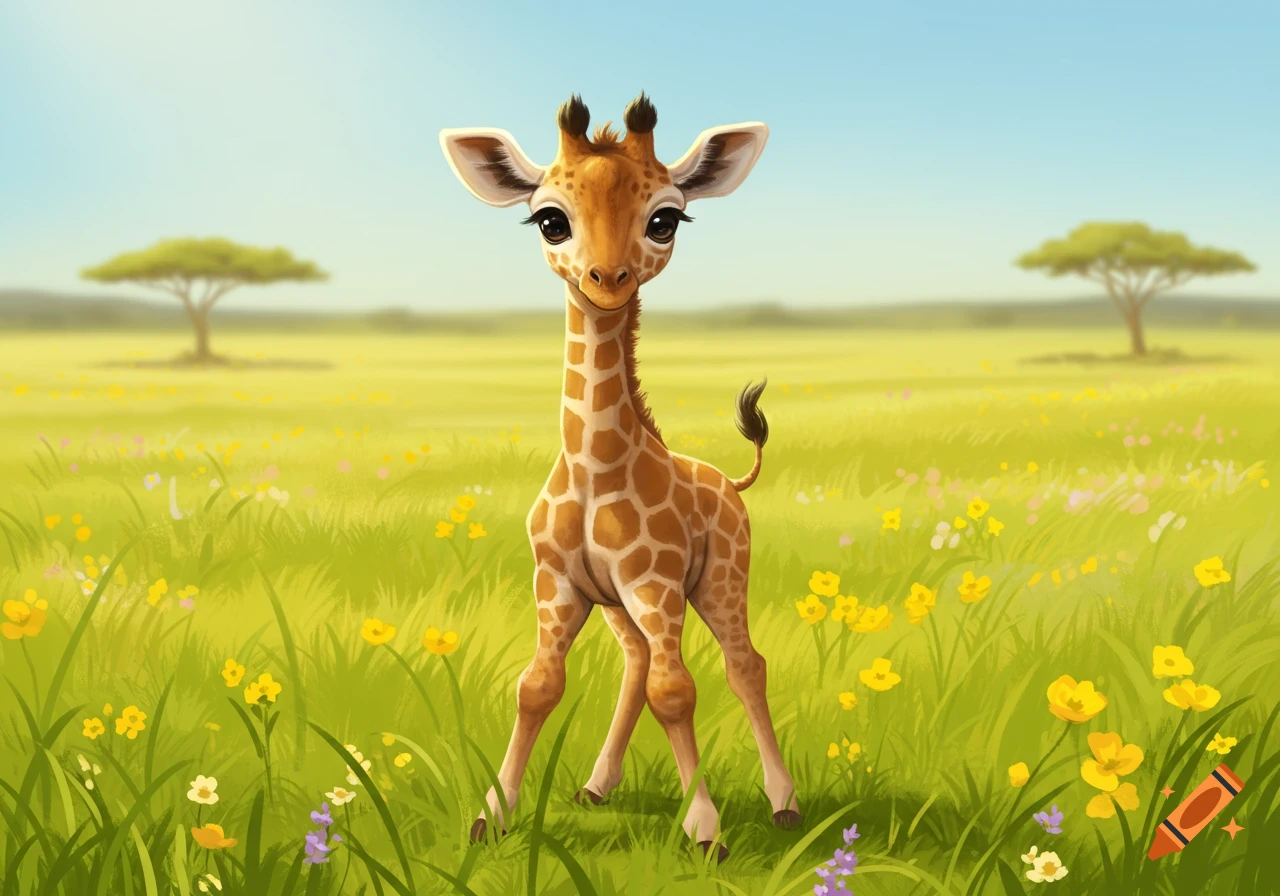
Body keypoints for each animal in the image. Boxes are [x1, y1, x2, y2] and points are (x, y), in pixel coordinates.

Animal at [439, 93, 798, 859]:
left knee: (743, 664)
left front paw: (705, 830)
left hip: (720, 577)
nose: (608, 280)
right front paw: (493, 815)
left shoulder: (655, 582)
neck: (593, 470)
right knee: (636, 665)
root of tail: (730, 482)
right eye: (549, 218)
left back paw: (784, 802)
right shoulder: (558, 582)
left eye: (665, 218)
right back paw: (597, 786)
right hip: (618, 606)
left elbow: (677, 691)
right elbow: (537, 686)